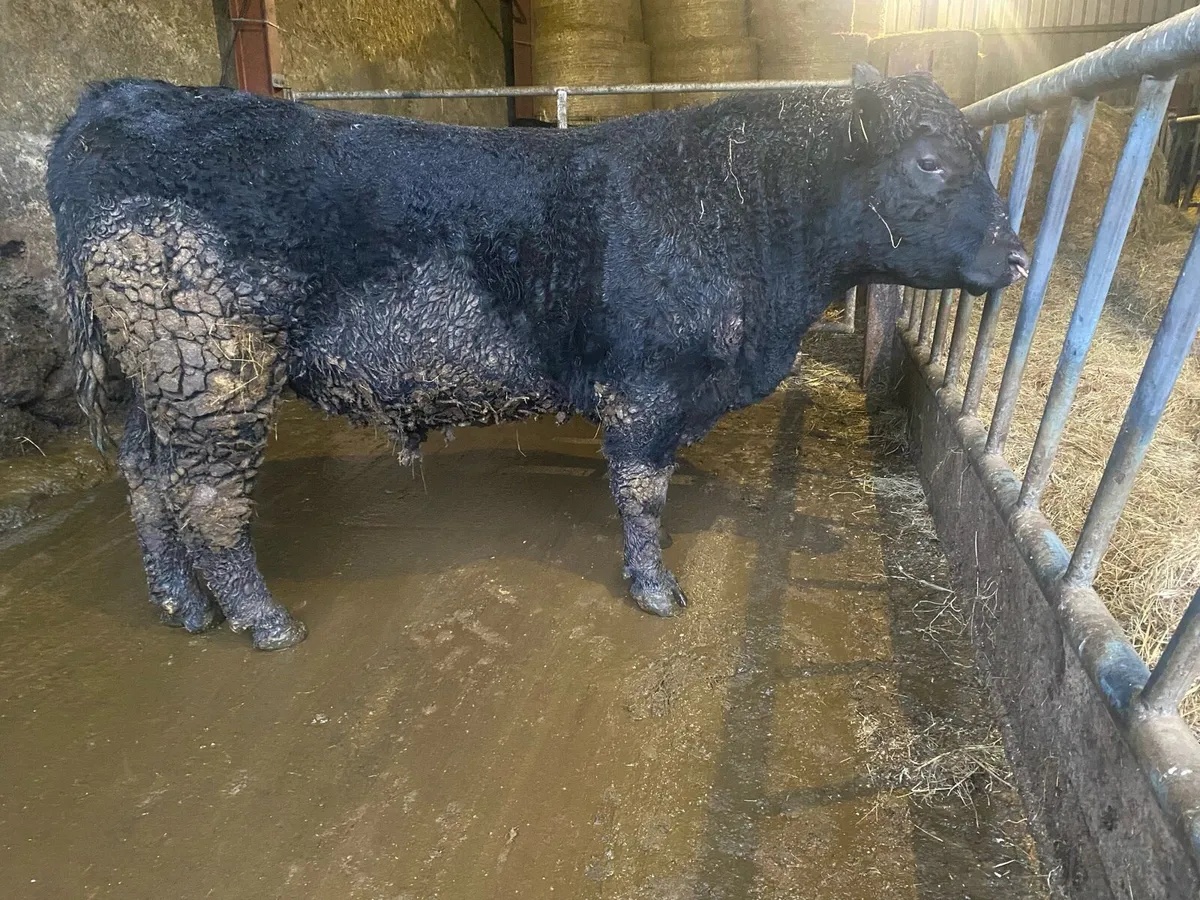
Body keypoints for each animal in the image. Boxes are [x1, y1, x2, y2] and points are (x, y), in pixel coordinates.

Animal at [46, 64, 1026, 650]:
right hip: (211, 369)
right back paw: (262, 619)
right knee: (207, 500)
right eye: (931, 162)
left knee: (146, 480)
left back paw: (181, 605)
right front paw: (655, 589)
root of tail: (115, 99)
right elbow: (641, 490)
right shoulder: (646, 385)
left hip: (161, 383)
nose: (1017, 258)